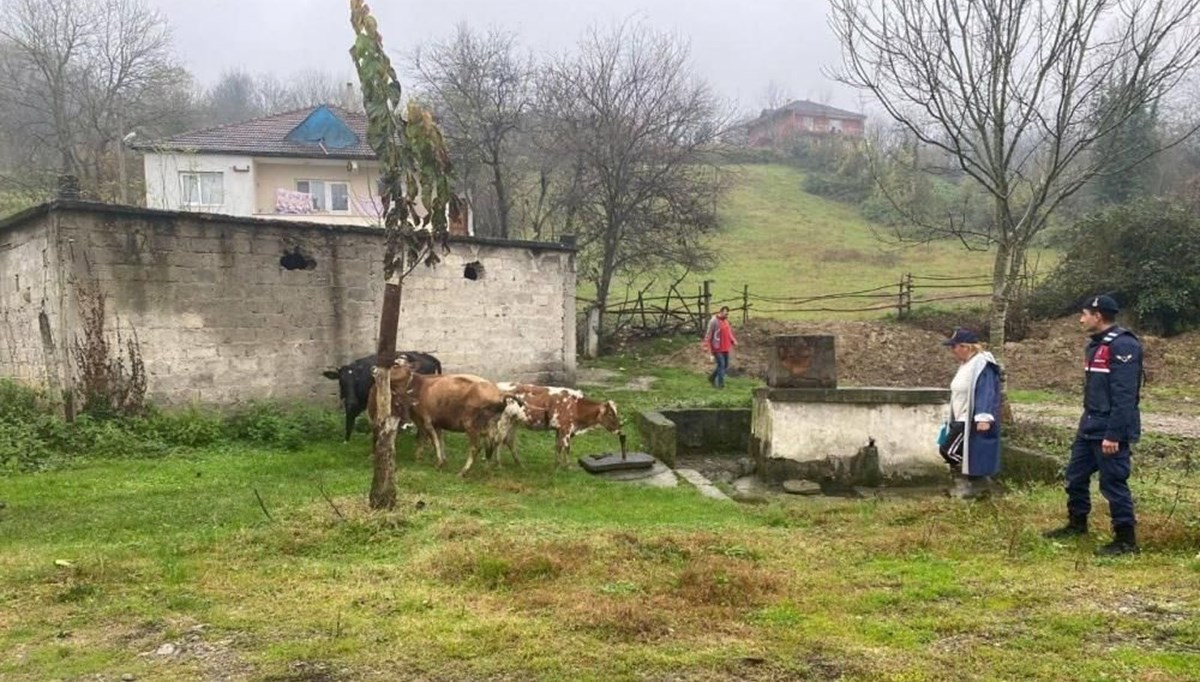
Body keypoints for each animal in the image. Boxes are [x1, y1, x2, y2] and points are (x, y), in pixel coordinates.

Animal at [362, 360, 518, 477]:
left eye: (395, 364)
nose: (373, 369)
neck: (418, 385)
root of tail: (500, 393)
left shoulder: (427, 420)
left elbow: (432, 440)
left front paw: (438, 462)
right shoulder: (435, 422)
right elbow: (439, 440)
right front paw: (438, 459)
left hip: (470, 424)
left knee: (476, 447)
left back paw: (463, 472)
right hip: (490, 425)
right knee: (491, 444)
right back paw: (487, 469)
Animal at [487, 381, 624, 465]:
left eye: (616, 413)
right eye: (610, 414)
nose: (619, 428)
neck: (576, 406)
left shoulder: (560, 429)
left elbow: (558, 447)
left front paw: (557, 465)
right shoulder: (566, 429)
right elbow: (567, 448)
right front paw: (568, 467)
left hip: (514, 421)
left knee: (508, 440)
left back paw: (519, 463)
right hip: (505, 420)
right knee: (498, 440)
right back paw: (498, 464)